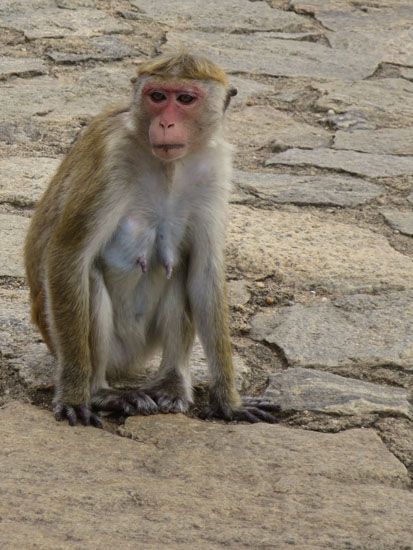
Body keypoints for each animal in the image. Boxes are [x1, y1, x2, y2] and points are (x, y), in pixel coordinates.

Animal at [24, 51, 278, 430]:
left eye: (185, 99)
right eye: (157, 96)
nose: (166, 124)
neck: (169, 166)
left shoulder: (215, 168)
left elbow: (204, 272)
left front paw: (229, 402)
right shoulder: (110, 158)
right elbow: (68, 256)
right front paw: (72, 396)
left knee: (182, 270)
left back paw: (171, 382)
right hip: (90, 345)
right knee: (89, 278)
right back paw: (100, 391)